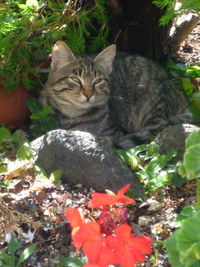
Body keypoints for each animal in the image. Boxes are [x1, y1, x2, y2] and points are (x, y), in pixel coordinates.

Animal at [39, 40, 191, 149]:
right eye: (76, 80)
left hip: (151, 105)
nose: (88, 95)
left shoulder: (112, 133)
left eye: (97, 81)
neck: (72, 115)